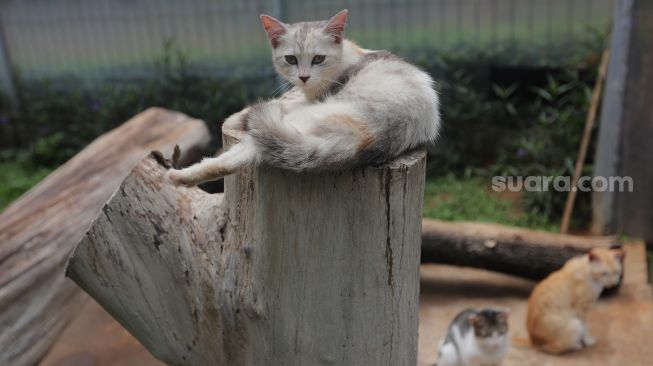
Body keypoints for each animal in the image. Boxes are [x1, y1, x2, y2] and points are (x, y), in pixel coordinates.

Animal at [164, 9, 438, 186]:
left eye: (318, 58)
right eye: (291, 59)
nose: (304, 77)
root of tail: (369, 135)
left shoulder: (307, 100)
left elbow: (277, 103)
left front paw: (237, 116)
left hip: (294, 125)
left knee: (246, 151)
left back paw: (180, 176)